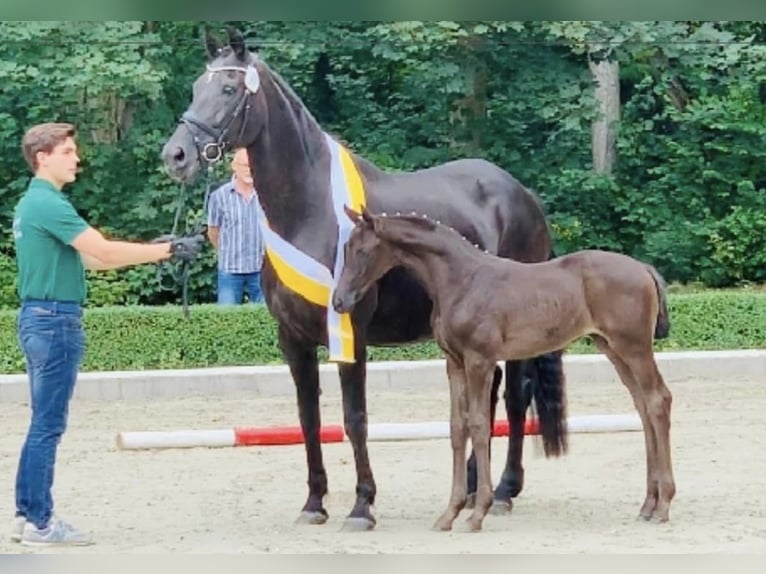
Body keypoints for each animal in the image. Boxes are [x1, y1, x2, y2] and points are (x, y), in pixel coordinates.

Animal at [336, 208, 680, 536]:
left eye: (363, 250)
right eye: (345, 248)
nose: (340, 301)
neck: (460, 280)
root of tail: (644, 268)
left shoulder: (480, 360)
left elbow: (478, 425)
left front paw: (478, 513)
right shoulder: (454, 363)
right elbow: (457, 428)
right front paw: (449, 514)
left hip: (634, 347)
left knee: (658, 400)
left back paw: (663, 504)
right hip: (611, 347)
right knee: (643, 406)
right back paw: (648, 505)